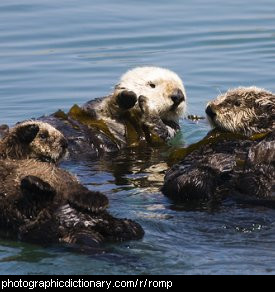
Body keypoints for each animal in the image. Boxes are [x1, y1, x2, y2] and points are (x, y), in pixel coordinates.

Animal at [40, 66, 188, 160]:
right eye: (152, 85)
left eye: (181, 87)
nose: (178, 96)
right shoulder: (95, 107)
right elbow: (104, 106)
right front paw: (126, 97)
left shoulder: (170, 131)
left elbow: (158, 133)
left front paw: (148, 106)